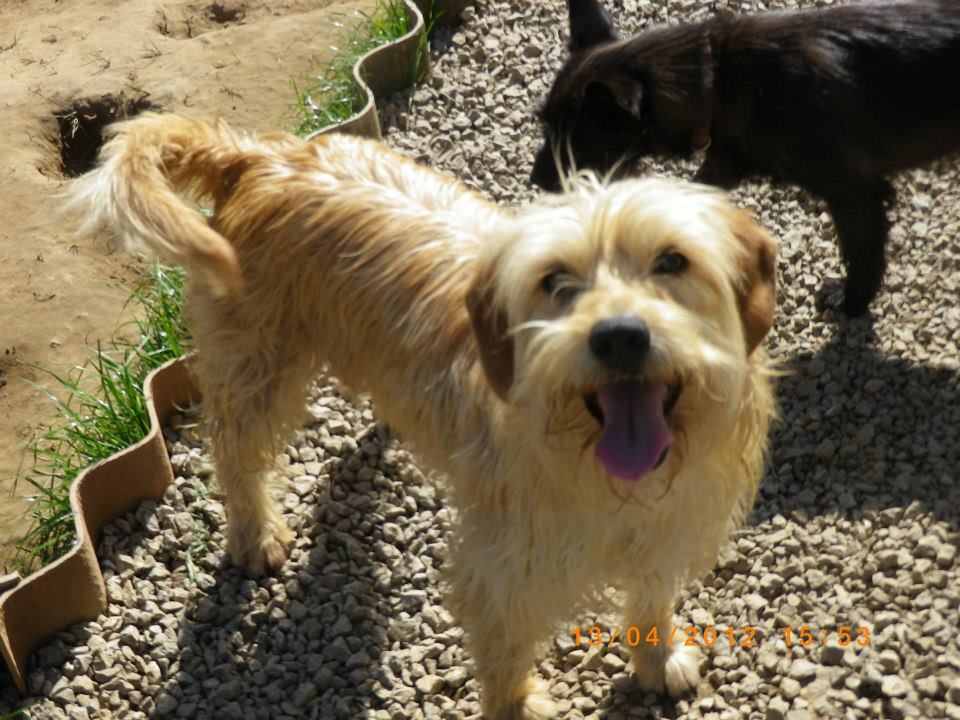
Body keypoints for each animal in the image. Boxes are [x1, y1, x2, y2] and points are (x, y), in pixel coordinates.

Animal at [71, 114, 776, 720]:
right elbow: (504, 650)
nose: (620, 336)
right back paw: (255, 533)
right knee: (234, 451)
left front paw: (657, 660)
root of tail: (261, 155)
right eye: (554, 279)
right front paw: (517, 707)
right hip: (256, 367)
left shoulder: (666, 529)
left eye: (672, 260)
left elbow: (652, 599)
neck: (603, 472)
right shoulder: (501, 569)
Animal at [532, 0, 960, 316]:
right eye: (544, 124)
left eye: (573, 139)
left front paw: (852, 303)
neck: (719, 79)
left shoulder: (855, 196)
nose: (535, 181)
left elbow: (862, 256)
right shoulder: (724, 160)